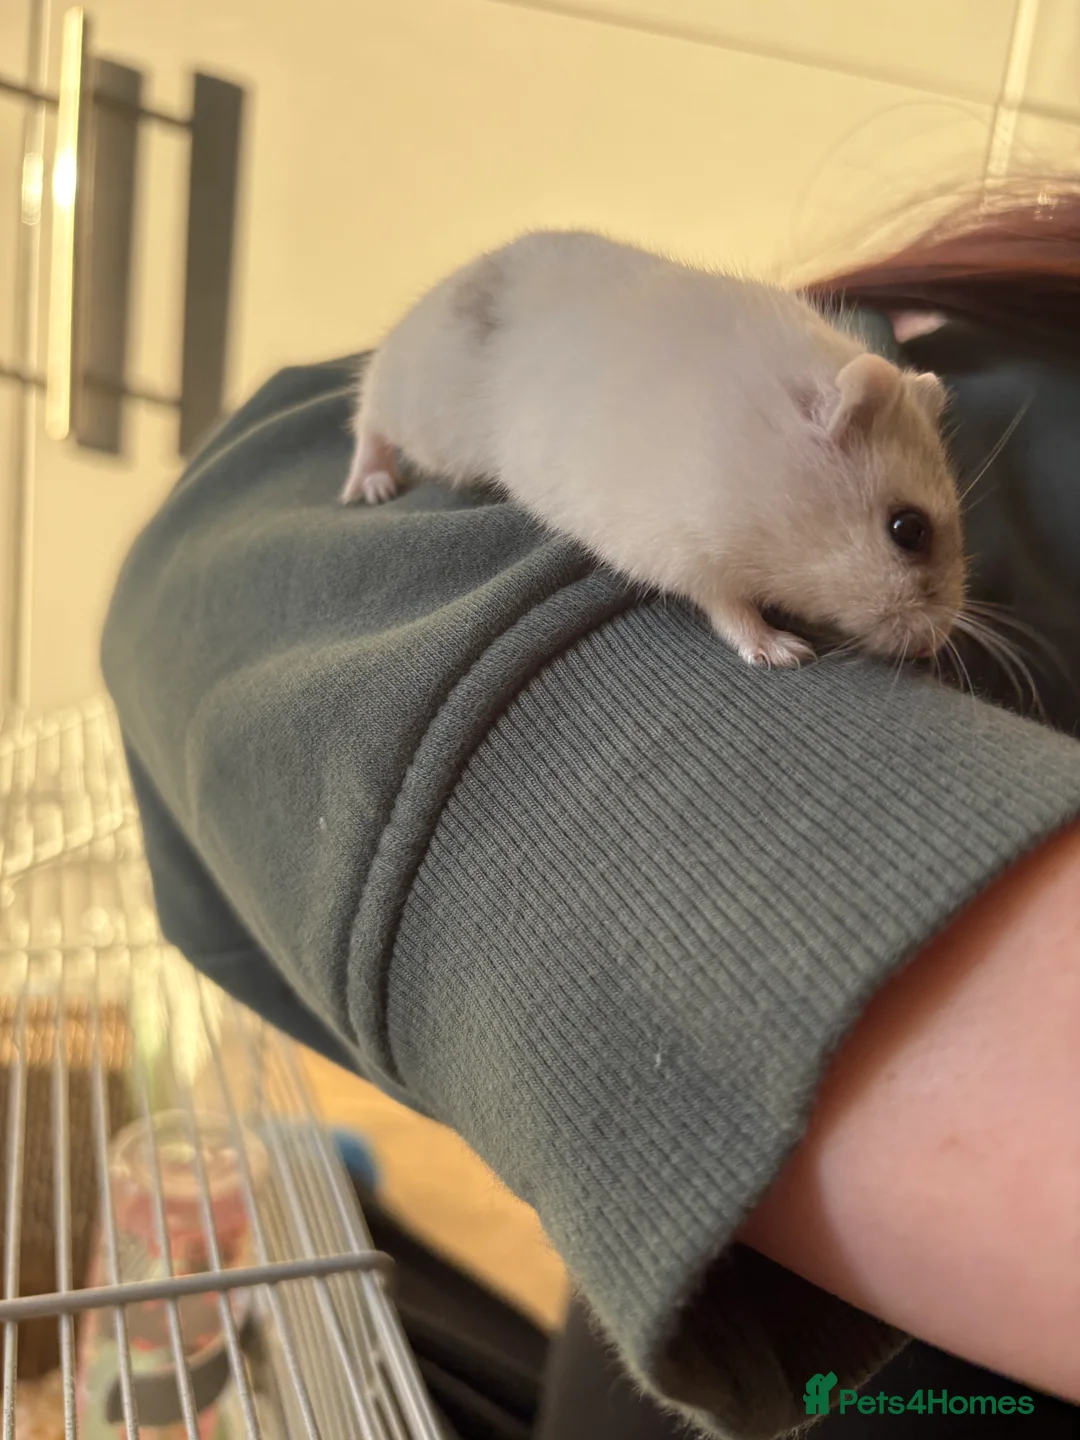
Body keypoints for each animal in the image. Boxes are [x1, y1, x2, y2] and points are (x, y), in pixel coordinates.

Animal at [341, 231, 965, 668]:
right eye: (909, 530)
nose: (931, 647)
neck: (765, 463)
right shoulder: (690, 552)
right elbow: (730, 611)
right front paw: (784, 653)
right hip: (426, 417)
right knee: (368, 409)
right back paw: (368, 487)